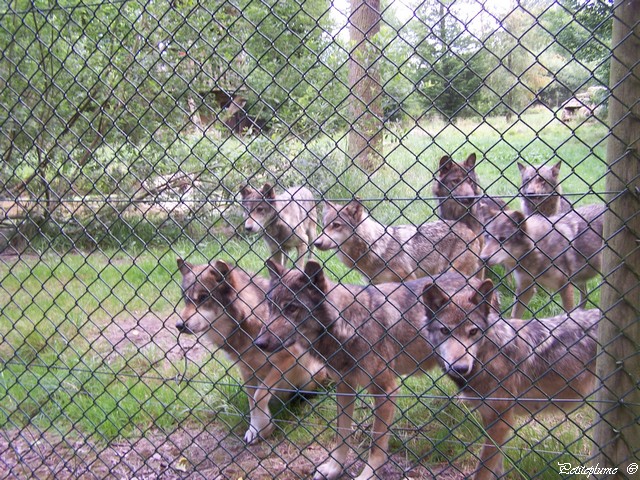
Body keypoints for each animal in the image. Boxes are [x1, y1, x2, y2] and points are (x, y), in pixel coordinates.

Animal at [174, 260, 324, 444]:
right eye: (186, 299)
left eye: (203, 297)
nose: (179, 325)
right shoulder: (246, 369)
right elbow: (252, 401)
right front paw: (256, 429)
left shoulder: (288, 360)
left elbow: (259, 396)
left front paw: (264, 427)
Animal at [255, 260, 480, 480]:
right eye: (271, 307)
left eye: (292, 308)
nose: (258, 343)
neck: (349, 326)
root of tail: (476, 279)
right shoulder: (344, 388)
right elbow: (341, 435)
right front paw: (334, 469)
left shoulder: (386, 392)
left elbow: (375, 445)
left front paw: (367, 475)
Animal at [422, 278, 596, 480]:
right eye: (444, 330)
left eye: (473, 332)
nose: (460, 368)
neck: (488, 355)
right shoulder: (490, 419)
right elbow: (497, 468)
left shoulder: (501, 423)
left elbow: (482, 471)